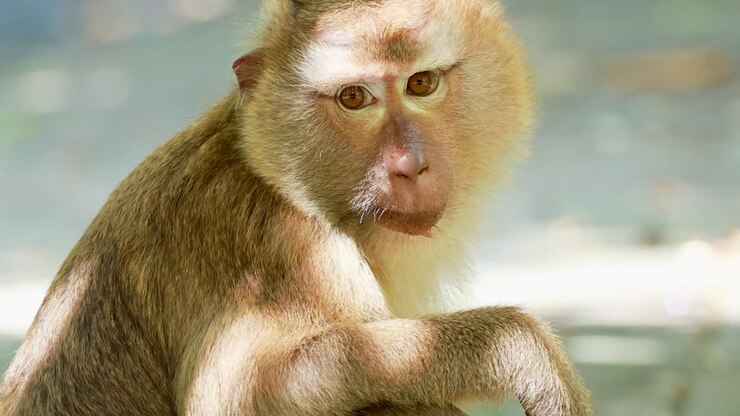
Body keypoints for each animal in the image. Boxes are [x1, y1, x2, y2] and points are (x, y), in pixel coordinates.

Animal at [0, 0, 593, 415]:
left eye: (421, 83)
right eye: (354, 98)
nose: (409, 165)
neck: (281, 180)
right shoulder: (290, 250)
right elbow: (236, 394)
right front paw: (516, 347)